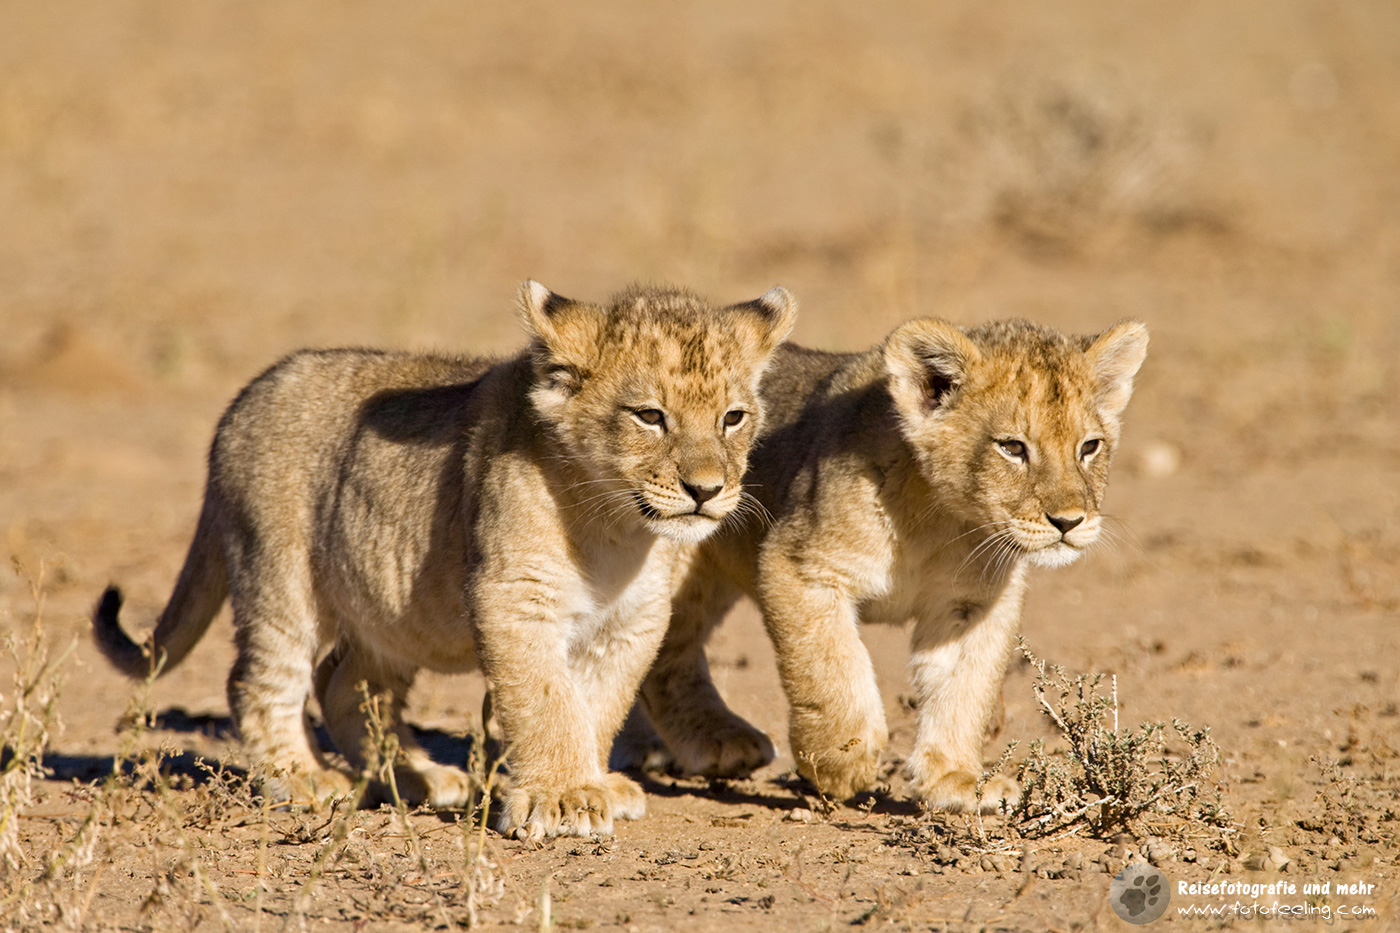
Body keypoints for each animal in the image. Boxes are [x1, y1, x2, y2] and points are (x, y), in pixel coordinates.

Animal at [93, 281, 796, 839]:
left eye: (734, 417)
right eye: (650, 415)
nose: (707, 490)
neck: (616, 527)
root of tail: (243, 399)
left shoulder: (632, 621)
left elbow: (597, 703)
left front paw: (592, 784)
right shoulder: (514, 598)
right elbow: (546, 700)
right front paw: (563, 798)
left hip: (389, 615)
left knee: (344, 685)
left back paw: (418, 777)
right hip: (280, 579)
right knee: (260, 681)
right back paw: (301, 779)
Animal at [622, 317, 1148, 813]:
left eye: (1089, 447)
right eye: (1013, 447)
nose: (1069, 521)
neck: (942, 519)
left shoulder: (970, 604)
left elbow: (964, 688)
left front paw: (957, 780)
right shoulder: (799, 564)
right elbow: (831, 667)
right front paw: (841, 761)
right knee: (663, 649)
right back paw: (712, 742)